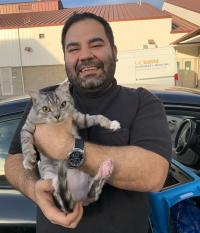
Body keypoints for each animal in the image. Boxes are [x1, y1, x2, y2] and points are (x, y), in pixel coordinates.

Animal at [20, 80, 120, 213]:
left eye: (63, 104)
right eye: (45, 109)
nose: (57, 115)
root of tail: (78, 200)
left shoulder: (79, 118)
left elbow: (97, 117)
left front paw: (111, 124)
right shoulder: (27, 127)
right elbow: (25, 143)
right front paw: (28, 159)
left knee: (93, 190)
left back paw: (104, 170)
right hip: (47, 169)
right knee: (58, 191)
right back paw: (57, 183)